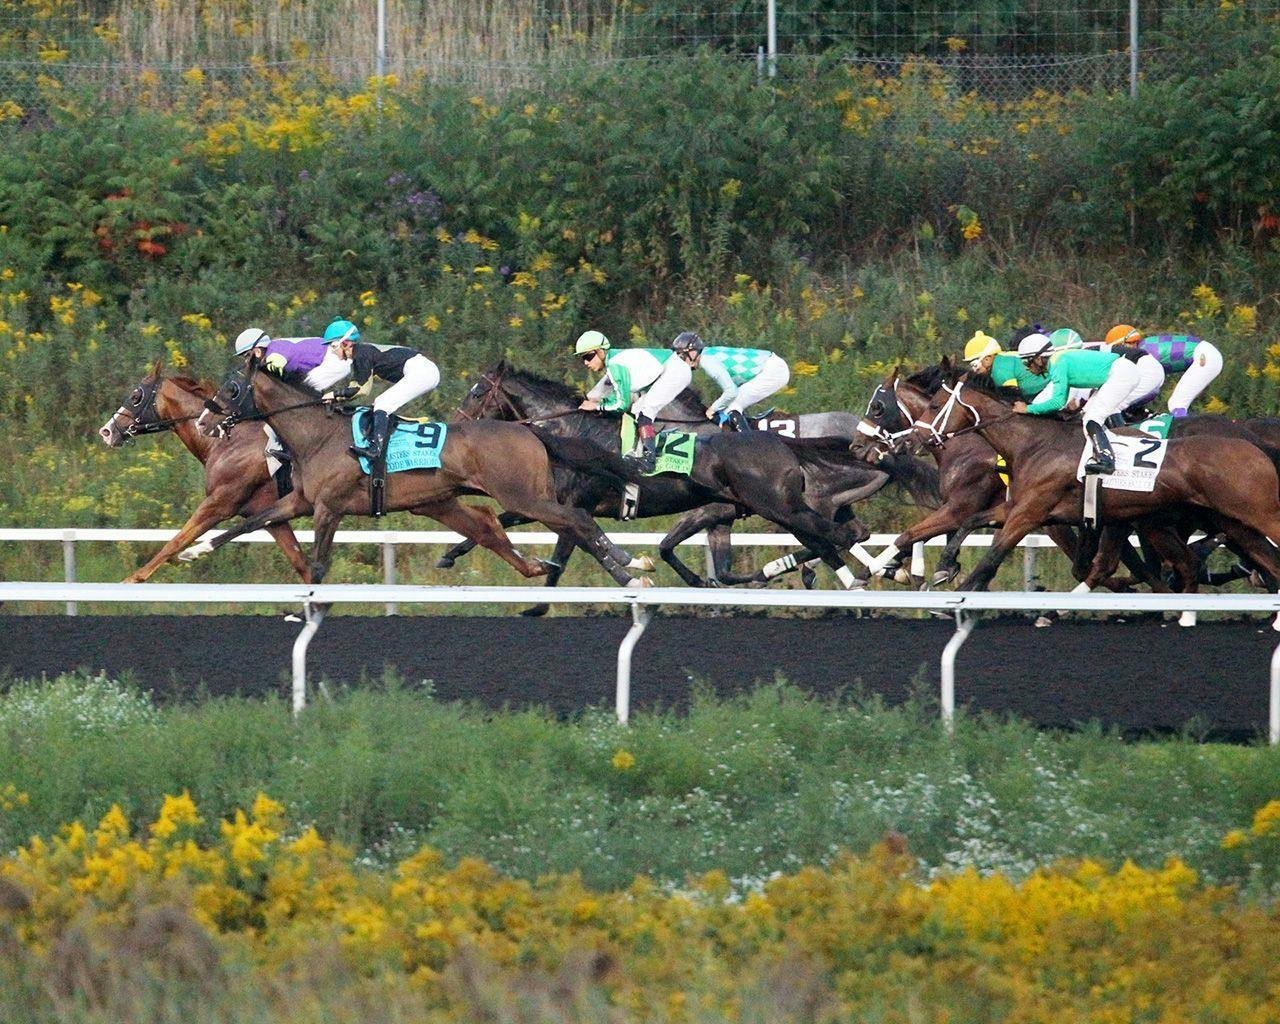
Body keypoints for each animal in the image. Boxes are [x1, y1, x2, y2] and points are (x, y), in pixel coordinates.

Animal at [97, 360, 312, 583]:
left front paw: (132, 579)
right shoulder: (268, 515)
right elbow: (302, 564)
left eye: (136, 396)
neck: (227, 441)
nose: (106, 431)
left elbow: (175, 542)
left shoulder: (218, 504)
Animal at [186, 353, 650, 588]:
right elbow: (250, 522)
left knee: (576, 520)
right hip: (468, 500)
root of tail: (531, 430)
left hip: (523, 497)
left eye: (232, 388)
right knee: (515, 528)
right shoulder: (301, 501)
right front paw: (195, 549)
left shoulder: (328, 509)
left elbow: (317, 566)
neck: (317, 434)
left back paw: (630, 564)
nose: (204, 421)